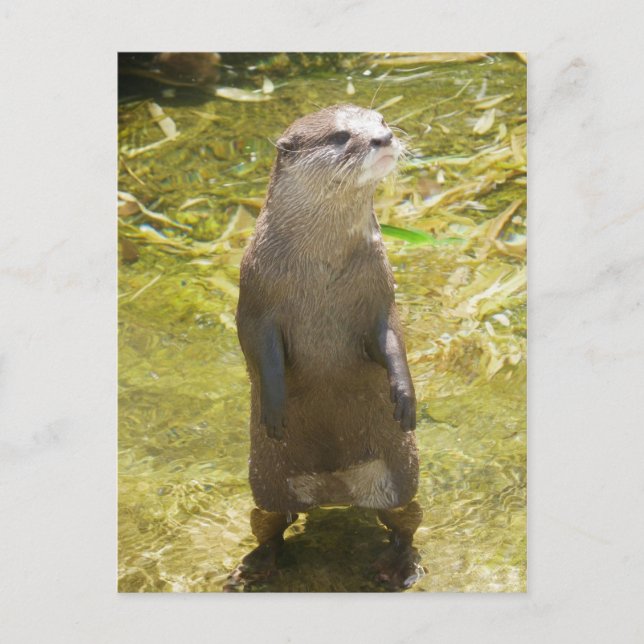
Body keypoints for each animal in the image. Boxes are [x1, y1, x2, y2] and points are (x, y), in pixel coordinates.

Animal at [229, 104, 423, 590]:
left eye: (382, 120)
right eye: (339, 136)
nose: (382, 138)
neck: (321, 264)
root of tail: (334, 493)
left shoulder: (380, 291)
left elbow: (393, 339)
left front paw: (405, 396)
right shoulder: (254, 295)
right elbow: (259, 350)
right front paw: (274, 409)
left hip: (399, 477)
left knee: (404, 521)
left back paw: (398, 566)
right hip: (267, 484)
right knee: (271, 524)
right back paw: (256, 566)